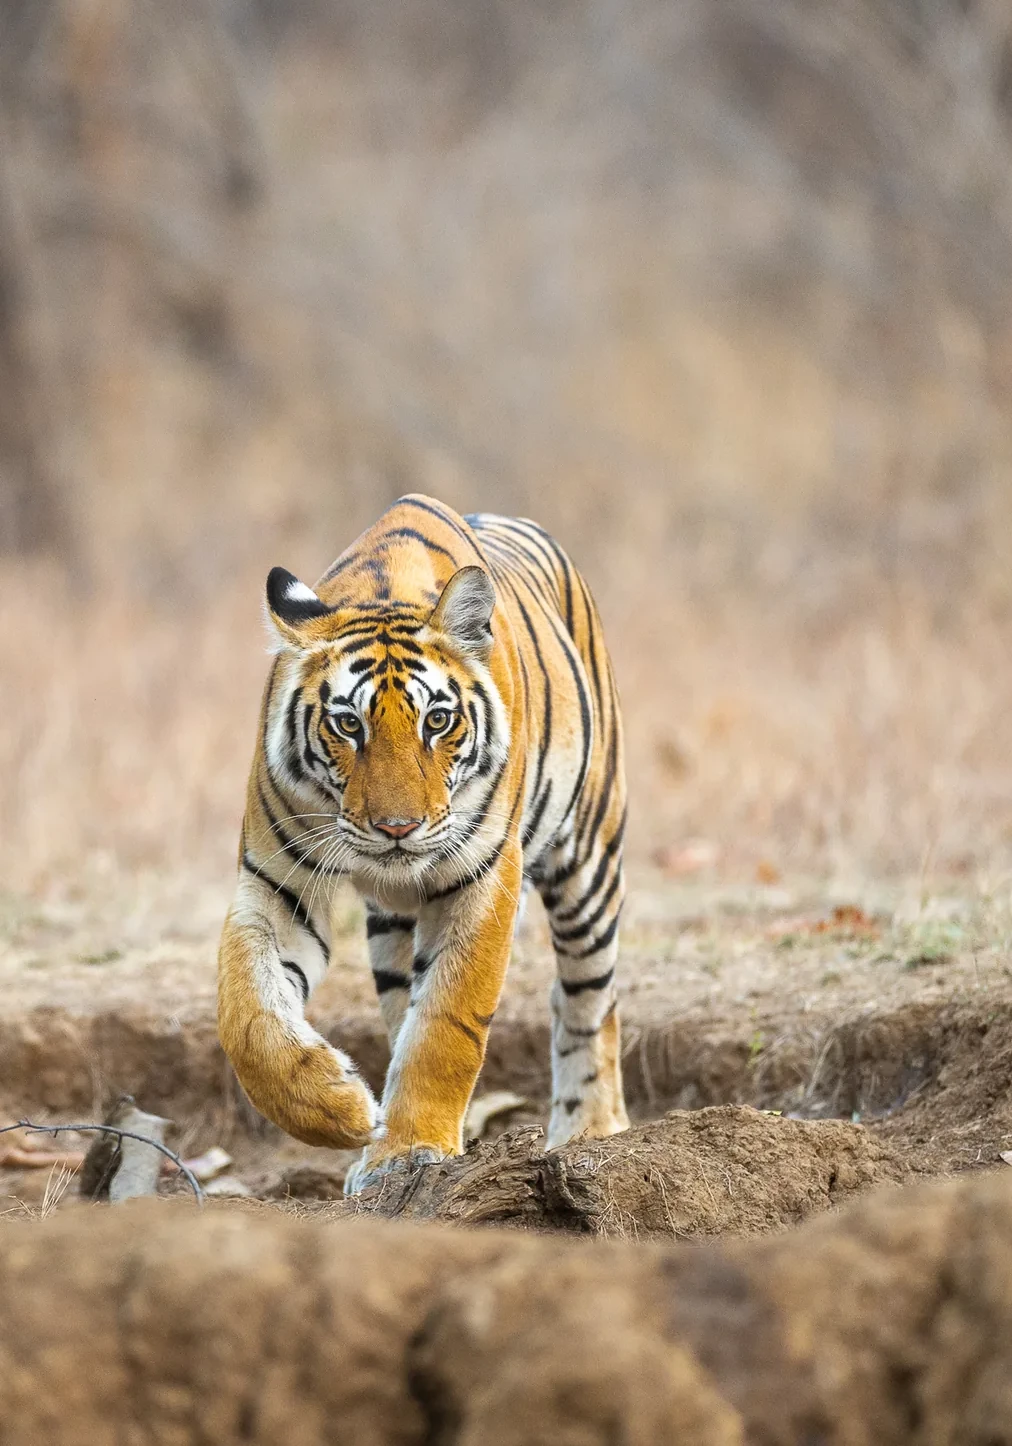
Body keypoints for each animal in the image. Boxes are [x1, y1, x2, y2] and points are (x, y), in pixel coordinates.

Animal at [217, 494, 629, 1193]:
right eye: (347, 725)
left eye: (438, 720)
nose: (398, 829)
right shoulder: (276, 882)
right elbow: (249, 1016)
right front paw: (343, 1110)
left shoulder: (484, 878)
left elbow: (445, 1024)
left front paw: (409, 1149)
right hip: (390, 929)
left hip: (590, 860)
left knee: (587, 997)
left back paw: (591, 1132)